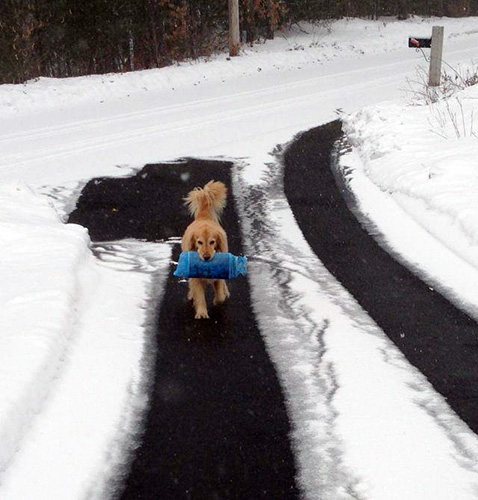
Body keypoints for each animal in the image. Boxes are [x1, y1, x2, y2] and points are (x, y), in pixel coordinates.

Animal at [181, 182, 230, 318]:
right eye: (199, 242)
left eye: (212, 242)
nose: (206, 257)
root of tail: (203, 217)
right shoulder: (196, 278)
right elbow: (199, 295)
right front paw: (202, 312)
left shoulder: (218, 276)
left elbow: (220, 295)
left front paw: (217, 300)